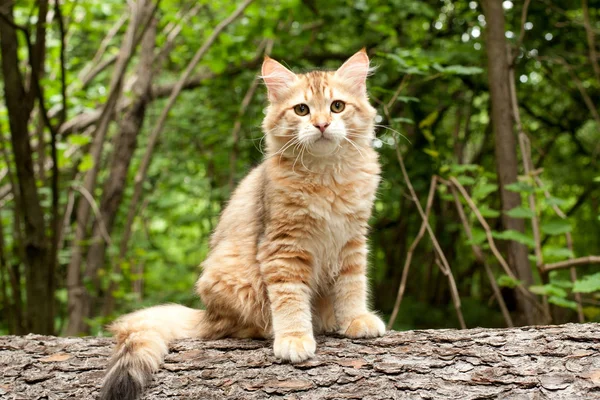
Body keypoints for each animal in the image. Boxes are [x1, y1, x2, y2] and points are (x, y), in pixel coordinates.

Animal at [99, 49, 384, 400]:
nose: (321, 124)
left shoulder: (352, 242)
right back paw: (278, 329)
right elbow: (290, 299)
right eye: (302, 110)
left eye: (337, 106)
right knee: (234, 328)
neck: (327, 175)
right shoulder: (283, 248)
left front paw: (355, 320)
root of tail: (206, 313)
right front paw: (294, 337)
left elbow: (352, 286)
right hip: (233, 279)